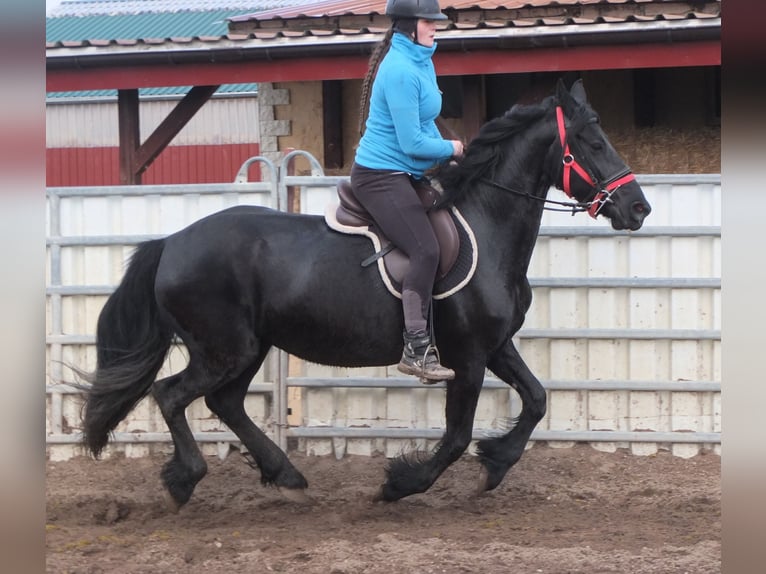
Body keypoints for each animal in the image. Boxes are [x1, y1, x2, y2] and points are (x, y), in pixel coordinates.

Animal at [79, 79, 656, 510]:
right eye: (594, 142)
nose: (638, 209)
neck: (486, 226)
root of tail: (172, 243)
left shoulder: (495, 346)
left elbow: (536, 400)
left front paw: (494, 465)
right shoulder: (468, 356)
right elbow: (456, 437)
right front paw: (400, 485)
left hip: (249, 347)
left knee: (224, 401)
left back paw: (286, 475)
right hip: (225, 348)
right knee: (172, 395)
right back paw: (185, 480)